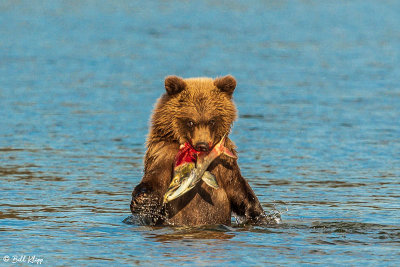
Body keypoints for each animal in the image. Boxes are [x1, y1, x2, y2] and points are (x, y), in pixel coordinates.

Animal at [131, 75, 268, 226]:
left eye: (212, 121)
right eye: (191, 122)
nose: (202, 145)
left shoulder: (224, 163)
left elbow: (238, 188)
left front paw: (259, 215)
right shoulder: (163, 153)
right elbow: (156, 178)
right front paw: (143, 200)